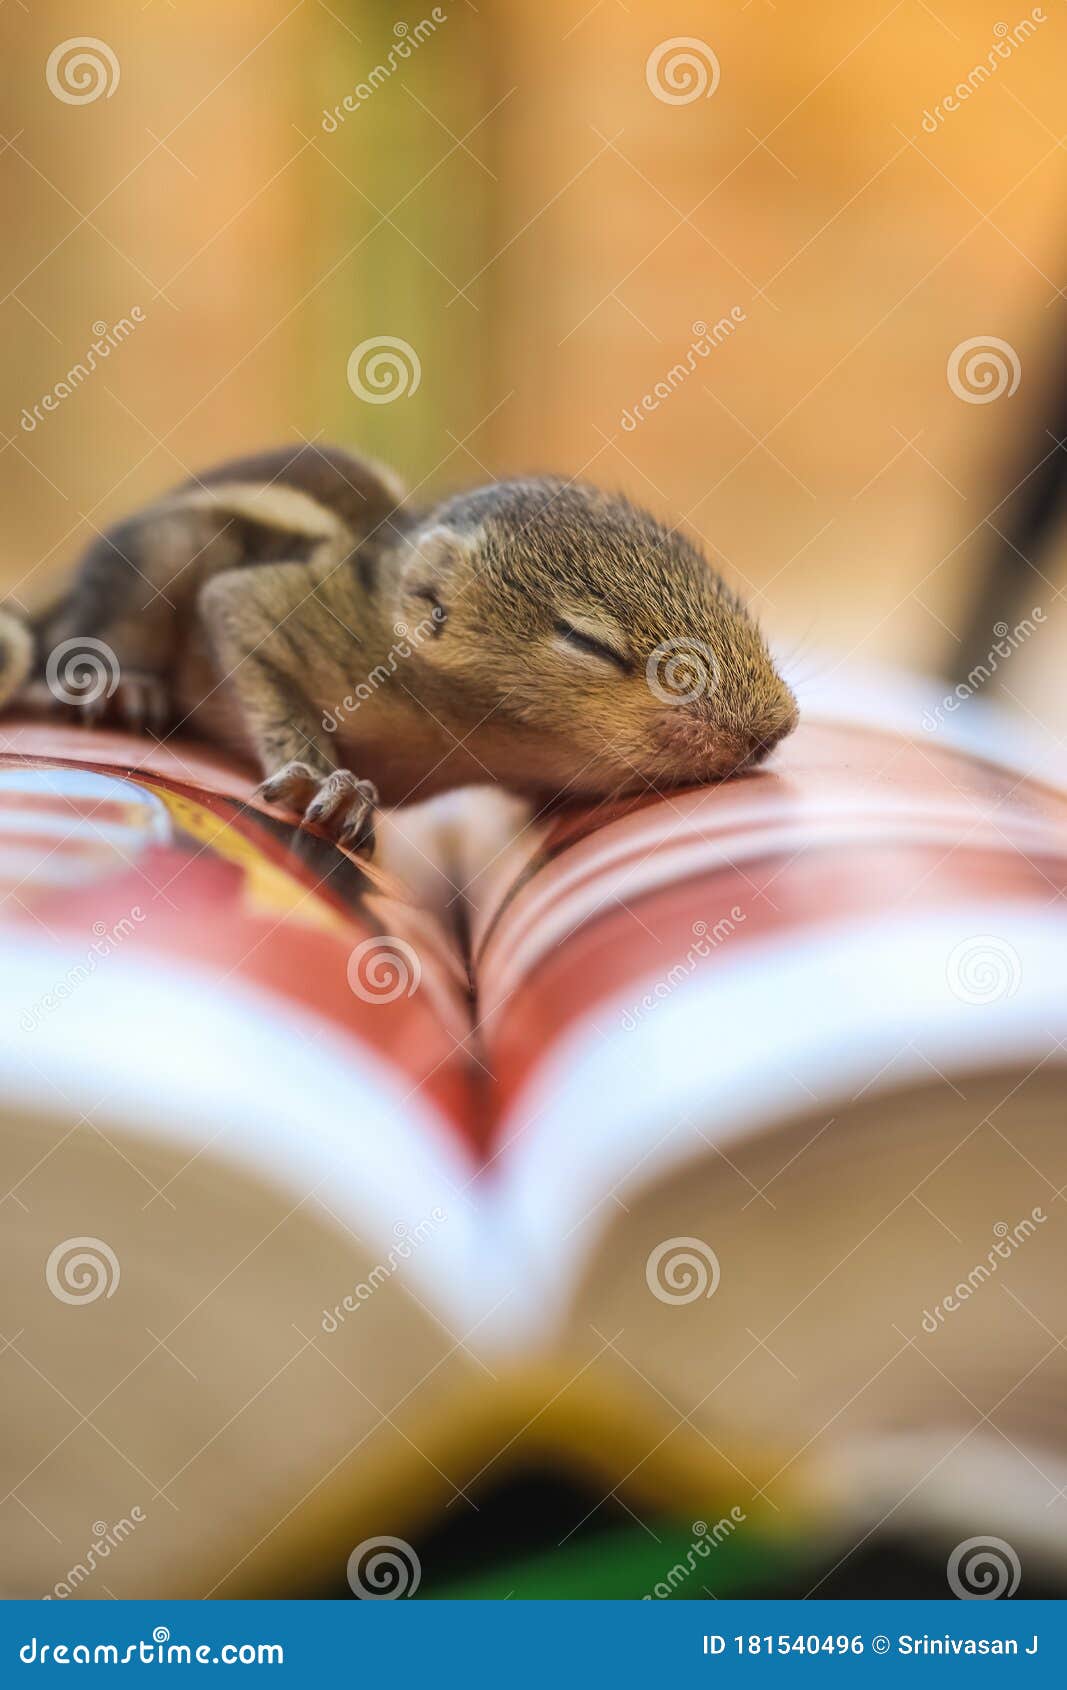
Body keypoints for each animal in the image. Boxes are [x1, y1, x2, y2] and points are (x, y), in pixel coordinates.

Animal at [0, 444, 798, 855]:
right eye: (585, 641)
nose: (780, 726)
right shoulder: (271, 614)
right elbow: (239, 622)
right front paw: (326, 783)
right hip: (161, 562)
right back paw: (114, 686)